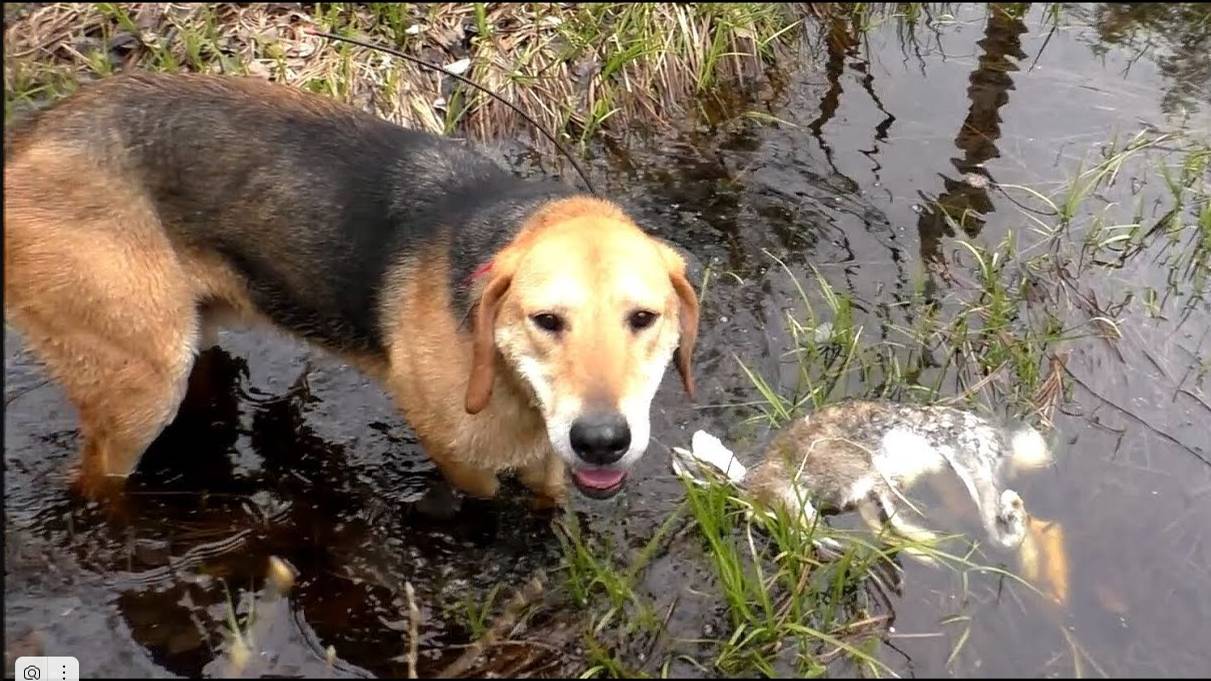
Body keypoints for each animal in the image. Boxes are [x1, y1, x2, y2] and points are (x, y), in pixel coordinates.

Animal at [2, 73, 702, 504]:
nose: (602, 441)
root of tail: (26, 140)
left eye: (643, 319)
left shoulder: (549, 465)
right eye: (547, 321)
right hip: (140, 394)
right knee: (93, 483)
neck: (513, 385)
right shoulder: (460, 457)